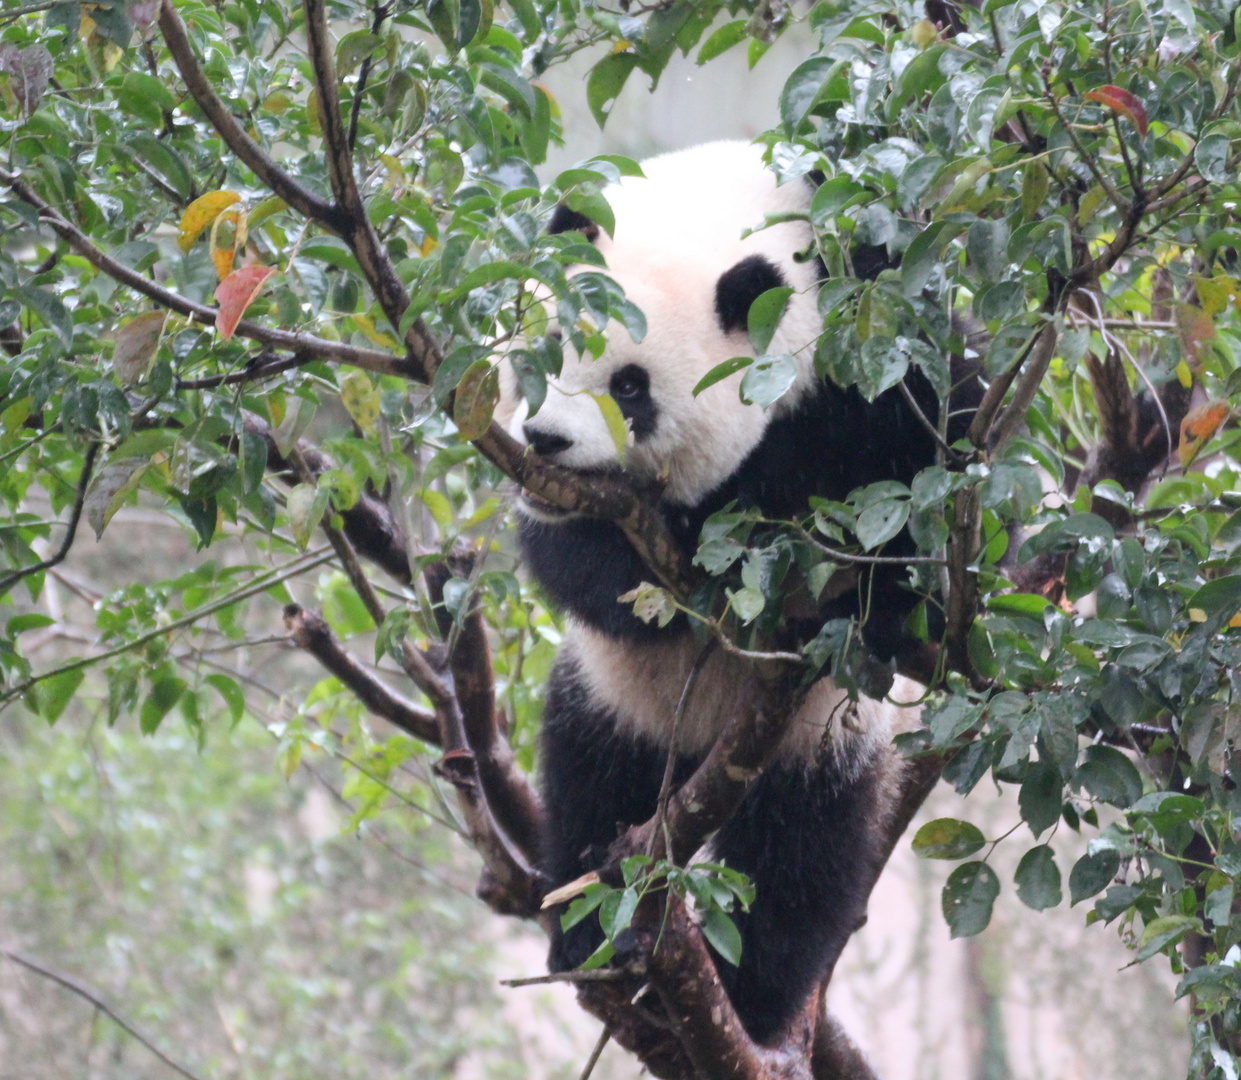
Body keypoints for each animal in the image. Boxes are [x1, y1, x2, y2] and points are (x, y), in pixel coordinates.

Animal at [508, 141, 953, 1047]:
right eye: (551, 342)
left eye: (630, 386)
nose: (544, 439)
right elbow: (573, 561)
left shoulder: (881, 321)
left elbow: (915, 475)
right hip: (615, 701)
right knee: (586, 783)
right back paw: (589, 935)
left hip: (820, 741)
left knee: (801, 859)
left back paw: (753, 997)